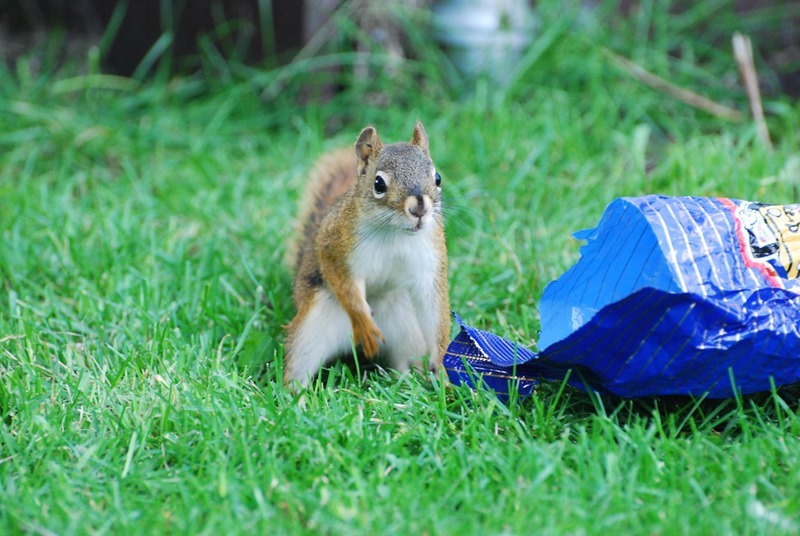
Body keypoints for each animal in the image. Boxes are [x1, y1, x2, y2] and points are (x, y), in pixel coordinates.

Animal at [283, 121, 451, 387]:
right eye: (379, 184)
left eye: (437, 177)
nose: (420, 208)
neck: (394, 232)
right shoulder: (334, 248)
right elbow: (345, 287)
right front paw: (364, 324)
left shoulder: (431, 261)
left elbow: (435, 308)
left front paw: (441, 363)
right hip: (310, 330)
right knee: (299, 367)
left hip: (408, 330)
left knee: (403, 361)